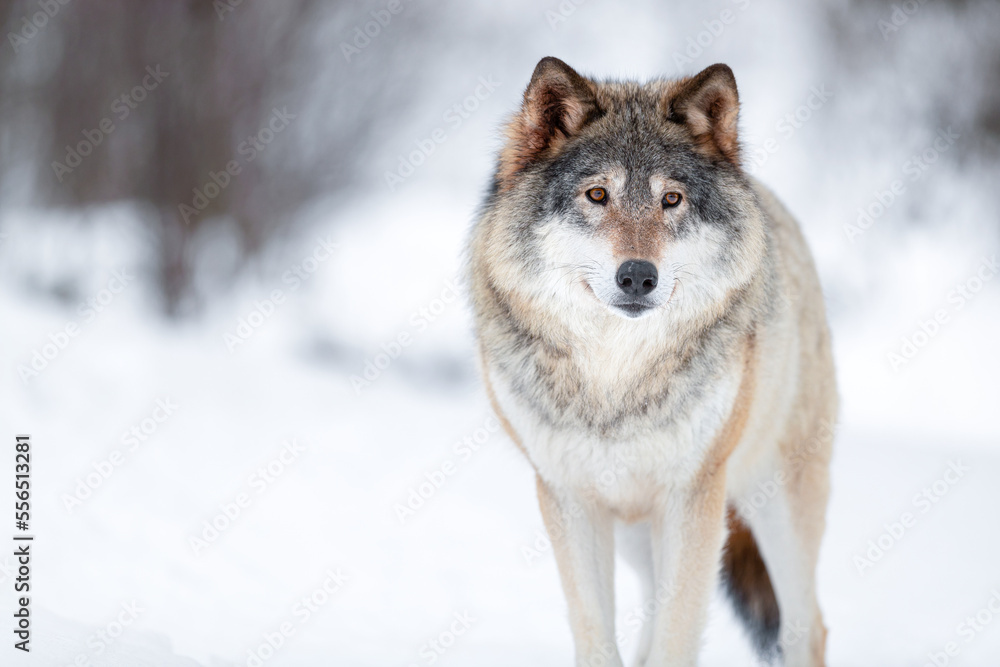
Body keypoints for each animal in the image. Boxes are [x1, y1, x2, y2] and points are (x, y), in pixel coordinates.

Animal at [466, 57, 837, 667]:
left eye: (672, 200)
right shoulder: (569, 497)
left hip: (774, 506)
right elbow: (598, 636)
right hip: (640, 531)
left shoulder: (692, 497)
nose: (638, 276)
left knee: (807, 627)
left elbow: (676, 635)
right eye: (597, 195)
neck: (616, 378)